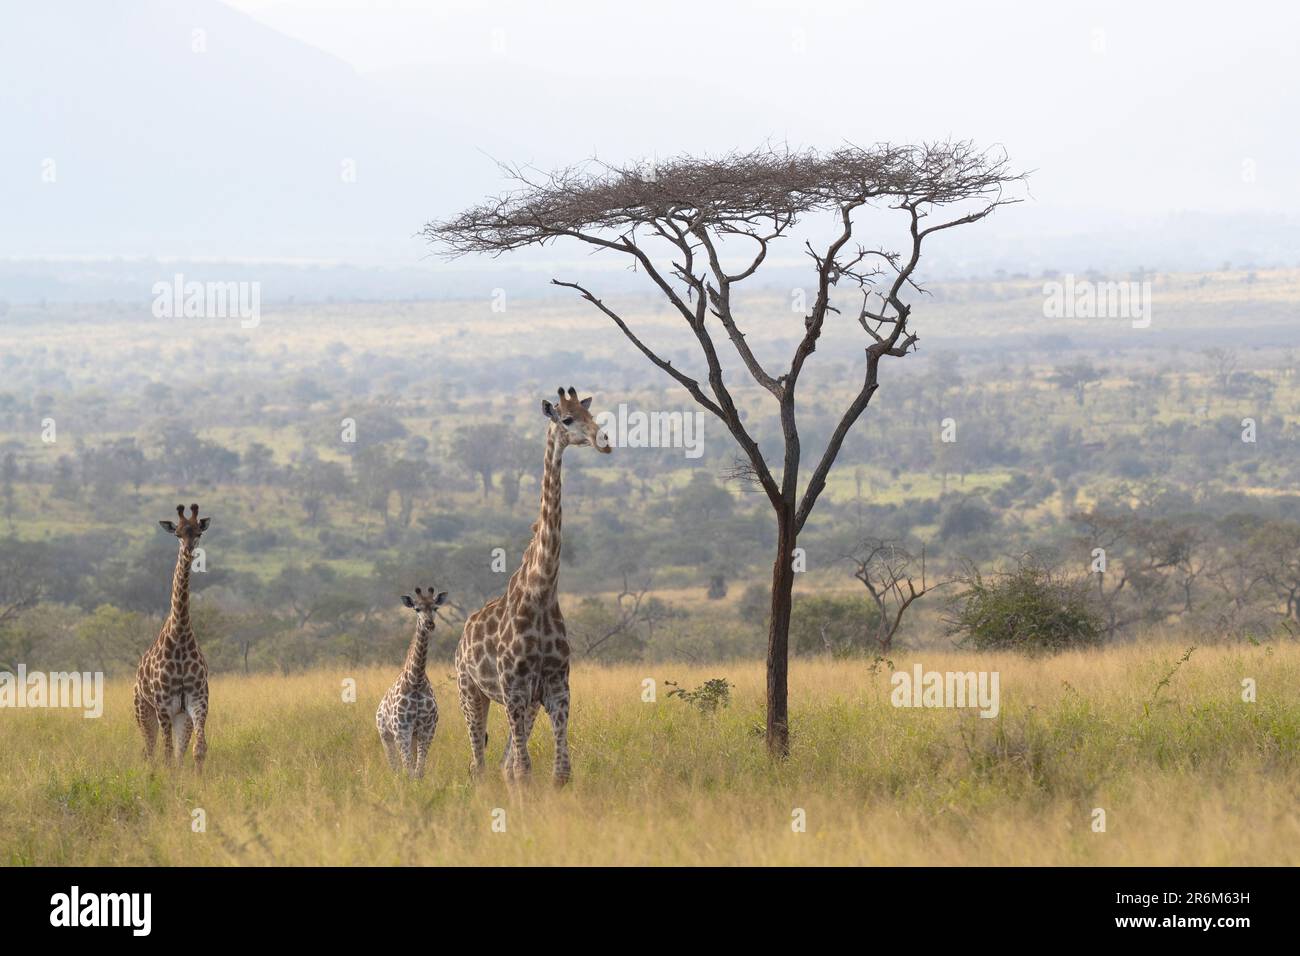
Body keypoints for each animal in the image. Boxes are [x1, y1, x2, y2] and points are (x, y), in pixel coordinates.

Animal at [133, 503, 211, 772]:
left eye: (198, 531)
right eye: (177, 533)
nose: (188, 552)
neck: (180, 635)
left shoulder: (198, 701)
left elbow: (198, 750)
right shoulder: (163, 705)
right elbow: (165, 755)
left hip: (180, 716)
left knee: (177, 753)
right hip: (144, 712)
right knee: (150, 751)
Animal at [376, 587, 445, 778]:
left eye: (435, 608)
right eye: (417, 609)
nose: (430, 624)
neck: (416, 681)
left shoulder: (427, 728)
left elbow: (419, 769)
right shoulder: (402, 729)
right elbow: (408, 769)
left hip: (413, 735)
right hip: (386, 736)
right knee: (395, 767)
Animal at [455, 386, 611, 785]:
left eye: (591, 415)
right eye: (567, 419)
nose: (603, 441)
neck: (541, 592)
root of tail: (462, 636)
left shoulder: (556, 687)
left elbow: (558, 771)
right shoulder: (514, 687)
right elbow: (523, 770)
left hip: (525, 704)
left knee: (503, 762)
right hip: (471, 691)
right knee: (479, 763)